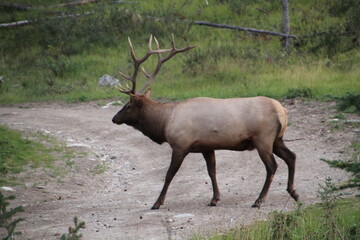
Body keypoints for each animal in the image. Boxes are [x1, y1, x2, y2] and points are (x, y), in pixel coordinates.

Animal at [112, 34, 298, 209]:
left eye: (128, 106)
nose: (114, 118)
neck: (165, 123)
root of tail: (282, 111)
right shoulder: (207, 147)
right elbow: (211, 171)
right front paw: (215, 198)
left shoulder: (180, 145)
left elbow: (169, 174)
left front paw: (157, 202)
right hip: (277, 138)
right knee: (292, 156)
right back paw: (293, 192)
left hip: (263, 138)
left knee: (272, 166)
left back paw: (259, 200)